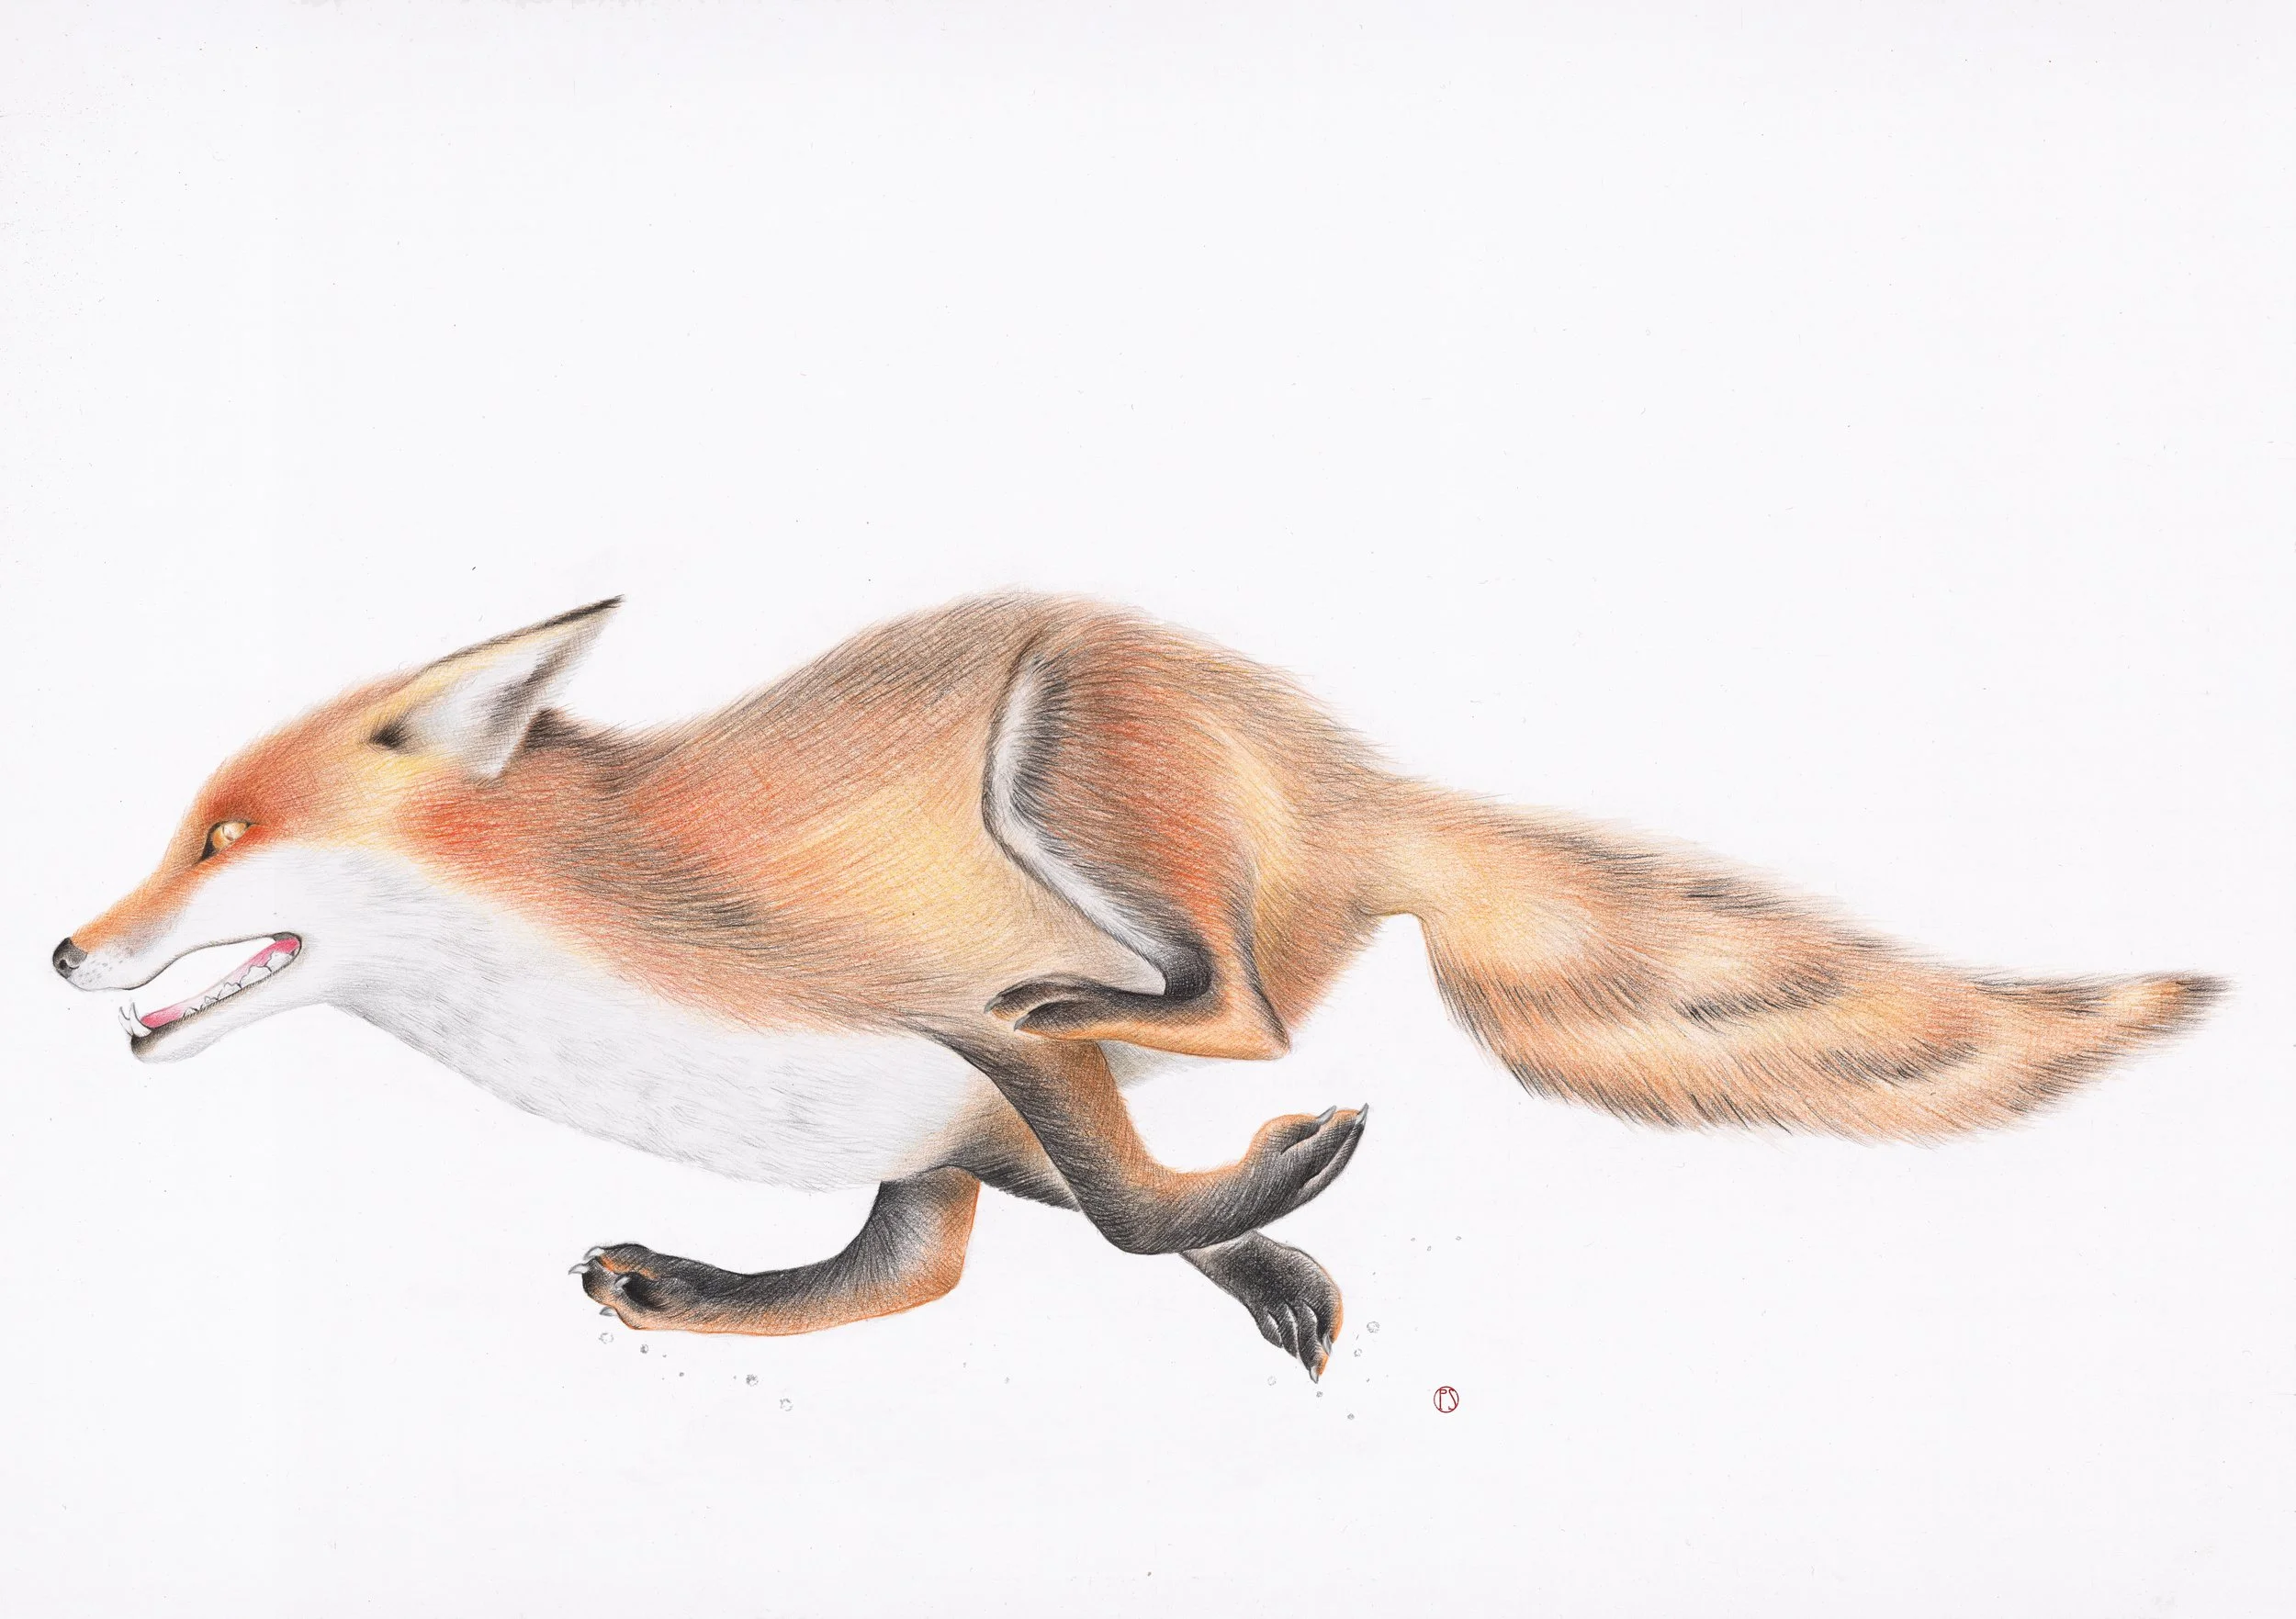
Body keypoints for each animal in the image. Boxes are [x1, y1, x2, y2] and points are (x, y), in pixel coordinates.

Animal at [54, 595, 2219, 1379]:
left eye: (223, 840)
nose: (68, 947)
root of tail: (1346, 768)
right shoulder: (921, 1125)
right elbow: (935, 1264)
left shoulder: (930, 1030)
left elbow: (1113, 1204)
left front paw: (1271, 1204)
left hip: (1063, 761)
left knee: (1228, 1004)